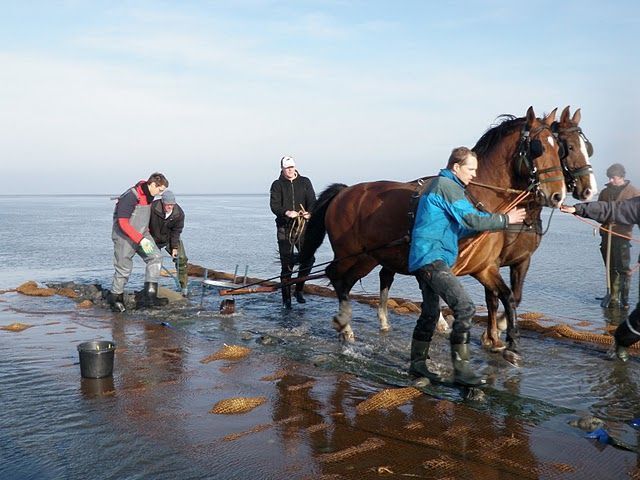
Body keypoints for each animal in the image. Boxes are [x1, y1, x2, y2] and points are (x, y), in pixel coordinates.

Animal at [300, 108, 564, 364]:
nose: (559, 195)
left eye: (559, 148)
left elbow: (507, 297)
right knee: (336, 276)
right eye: (538, 147)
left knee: (348, 280)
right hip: (352, 254)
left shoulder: (484, 267)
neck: (475, 197)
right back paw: (345, 326)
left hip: (369, 257)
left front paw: (510, 344)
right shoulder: (446, 268)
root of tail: (344, 192)